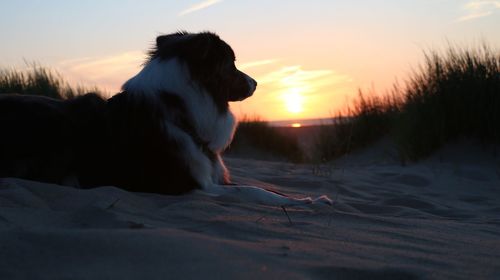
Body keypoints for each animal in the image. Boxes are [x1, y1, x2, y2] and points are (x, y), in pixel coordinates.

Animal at [0, 31, 332, 207]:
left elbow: (263, 188)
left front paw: (306, 199)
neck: (177, 112)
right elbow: (254, 190)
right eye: (232, 64)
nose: (255, 83)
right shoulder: (192, 187)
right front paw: (307, 202)